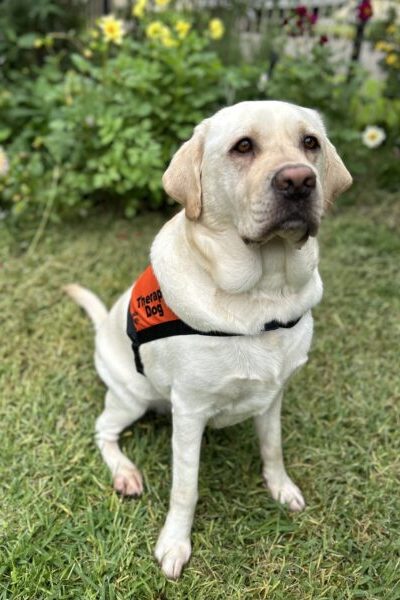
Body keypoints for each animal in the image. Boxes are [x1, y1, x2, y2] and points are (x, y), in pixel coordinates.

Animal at [67, 101, 352, 580]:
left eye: (310, 142)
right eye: (243, 146)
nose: (299, 181)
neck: (262, 297)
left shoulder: (273, 395)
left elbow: (273, 448)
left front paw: (281, 488)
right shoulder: (190, 411)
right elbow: (186, 487)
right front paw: (174, 544)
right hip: (131, 396)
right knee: (103, 431)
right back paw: (125, 473)